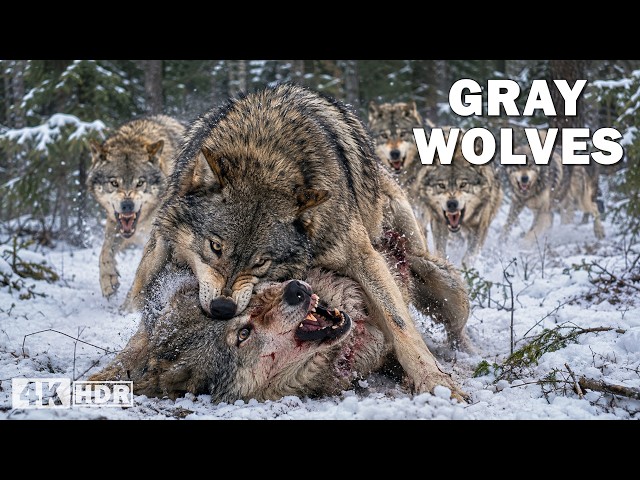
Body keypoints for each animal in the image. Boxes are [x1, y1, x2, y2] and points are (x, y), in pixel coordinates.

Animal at [87, 114, 185, 299]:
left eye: (140, 183)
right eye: (114, 183)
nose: (127, 205)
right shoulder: (116, 223)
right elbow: (105, 251)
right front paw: (108, 279)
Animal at [123, 83, 471, 400]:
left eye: (261, 262)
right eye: (215, 247)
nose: (223, 308)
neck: (264, 153)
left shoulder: (363, 258)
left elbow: (399, 323)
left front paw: (436, 383)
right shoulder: (167, 254)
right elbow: (145, 326)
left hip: (439, 278)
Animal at [410, 128, 503, 266]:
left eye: (463, 185)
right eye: (441, 185)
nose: (452, 204)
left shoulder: (480, 227)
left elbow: (469, 257)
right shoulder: (438, 222)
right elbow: (440, 252)